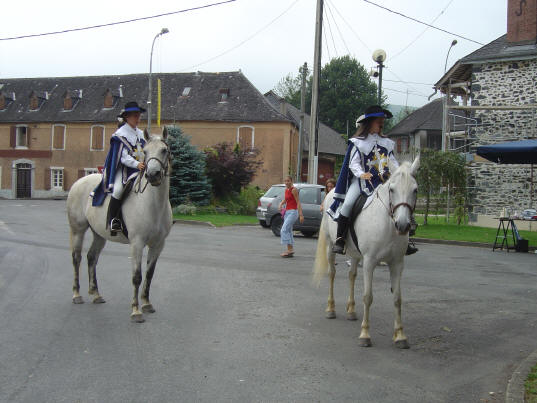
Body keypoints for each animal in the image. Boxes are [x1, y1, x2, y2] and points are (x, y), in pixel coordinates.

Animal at [66, 128, 172, 324]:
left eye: (164, 150)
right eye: (145, 152)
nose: (153, 175)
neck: (153, 204)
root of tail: (79, 182)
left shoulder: (158, 244)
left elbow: (149, 274)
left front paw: (147, 304)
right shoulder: (137, 243)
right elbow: (137, 276)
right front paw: (136, 311)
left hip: (99, 234)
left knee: (91, 257)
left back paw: (96, 294)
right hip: (78, 230)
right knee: (76, 258)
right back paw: (77, 294)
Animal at [312, 156, 420, 348]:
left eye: (415, 190)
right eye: (392, 189)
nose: (402, 225)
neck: (387, 224)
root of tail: (330, 193)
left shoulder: (397, 263)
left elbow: (397, 298)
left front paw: (400, 336)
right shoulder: (369, 262)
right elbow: (368, 296)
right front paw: (365, 334)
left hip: (355, 254)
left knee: (352, 275)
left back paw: (351, 311)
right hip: (330, 247)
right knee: (332, 274)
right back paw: (331, 308)